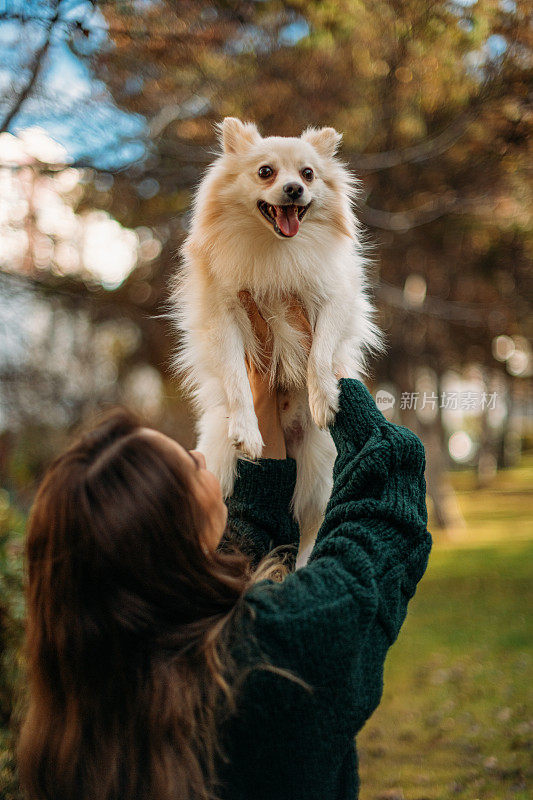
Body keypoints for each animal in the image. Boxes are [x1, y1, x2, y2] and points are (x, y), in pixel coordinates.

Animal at [175, 117, 382, 556]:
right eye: (265, 172)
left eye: (308, 174)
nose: (294, 189)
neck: (277, 247)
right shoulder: (225, 319)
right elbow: (237, 378)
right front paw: (247, 431)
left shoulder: (335, 300)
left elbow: (319, 354)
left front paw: (324, 400)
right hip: (221, 468)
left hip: (318, 475)